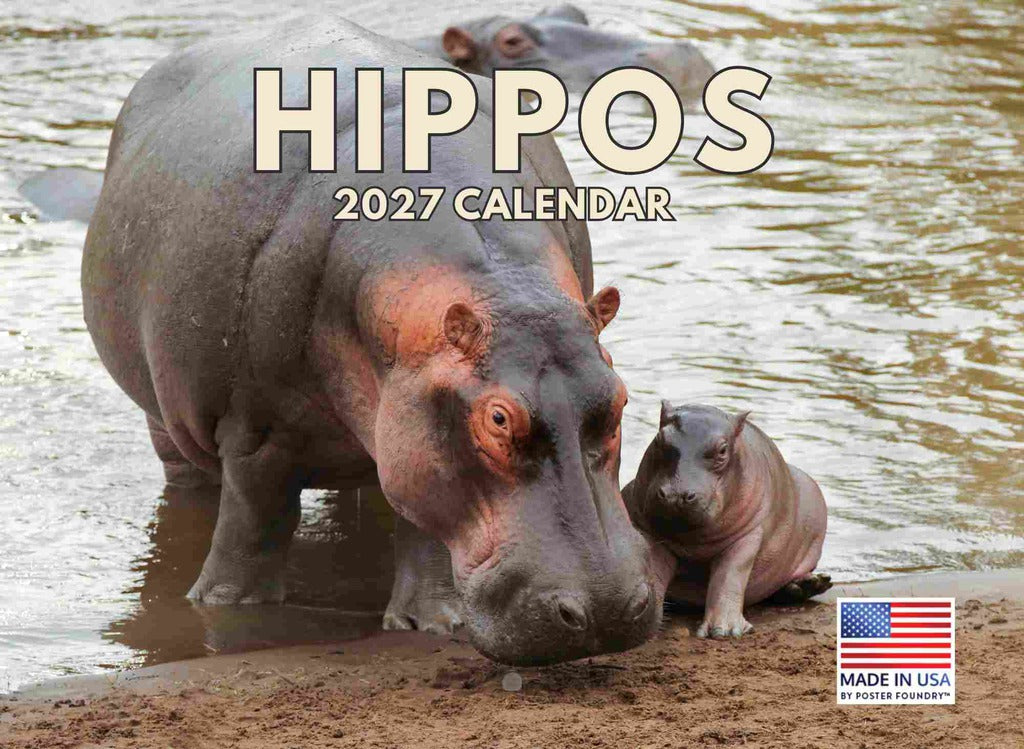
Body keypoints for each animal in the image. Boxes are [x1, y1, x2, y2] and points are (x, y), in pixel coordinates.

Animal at [81, 17, 674, 666]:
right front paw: (226, 610)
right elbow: (253, 526)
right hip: (164, 416)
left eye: (619, 399)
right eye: (497, 419)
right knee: (192, 481)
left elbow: (425, 531)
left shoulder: (417, 428)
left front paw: (432, 623)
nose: (607, 611)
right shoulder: (254, 429)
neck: (503, 285)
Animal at [623, 402, 830, 639]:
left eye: (723, 450)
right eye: (659, 439)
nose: (676, 495)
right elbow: (655, 568)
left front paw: (724, 631)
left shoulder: (749, 534)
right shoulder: (649, 531)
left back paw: (810, 584)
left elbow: (730, 574)